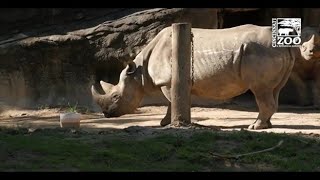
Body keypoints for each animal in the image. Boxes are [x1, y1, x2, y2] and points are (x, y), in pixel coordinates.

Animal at [90, 24, 320, 130]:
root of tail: (286, 47)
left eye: (116, 97)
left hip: (260, 52)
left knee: (260, 90)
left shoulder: (168, 81)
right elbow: (173, 101)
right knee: (274, 90)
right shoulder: (173, 81)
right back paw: (265, 125)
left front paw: (169, 123)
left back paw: (254, 127)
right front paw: (164, 123)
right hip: (271, 53)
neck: (139, 71)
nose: (107, 115)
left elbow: (172, 100)